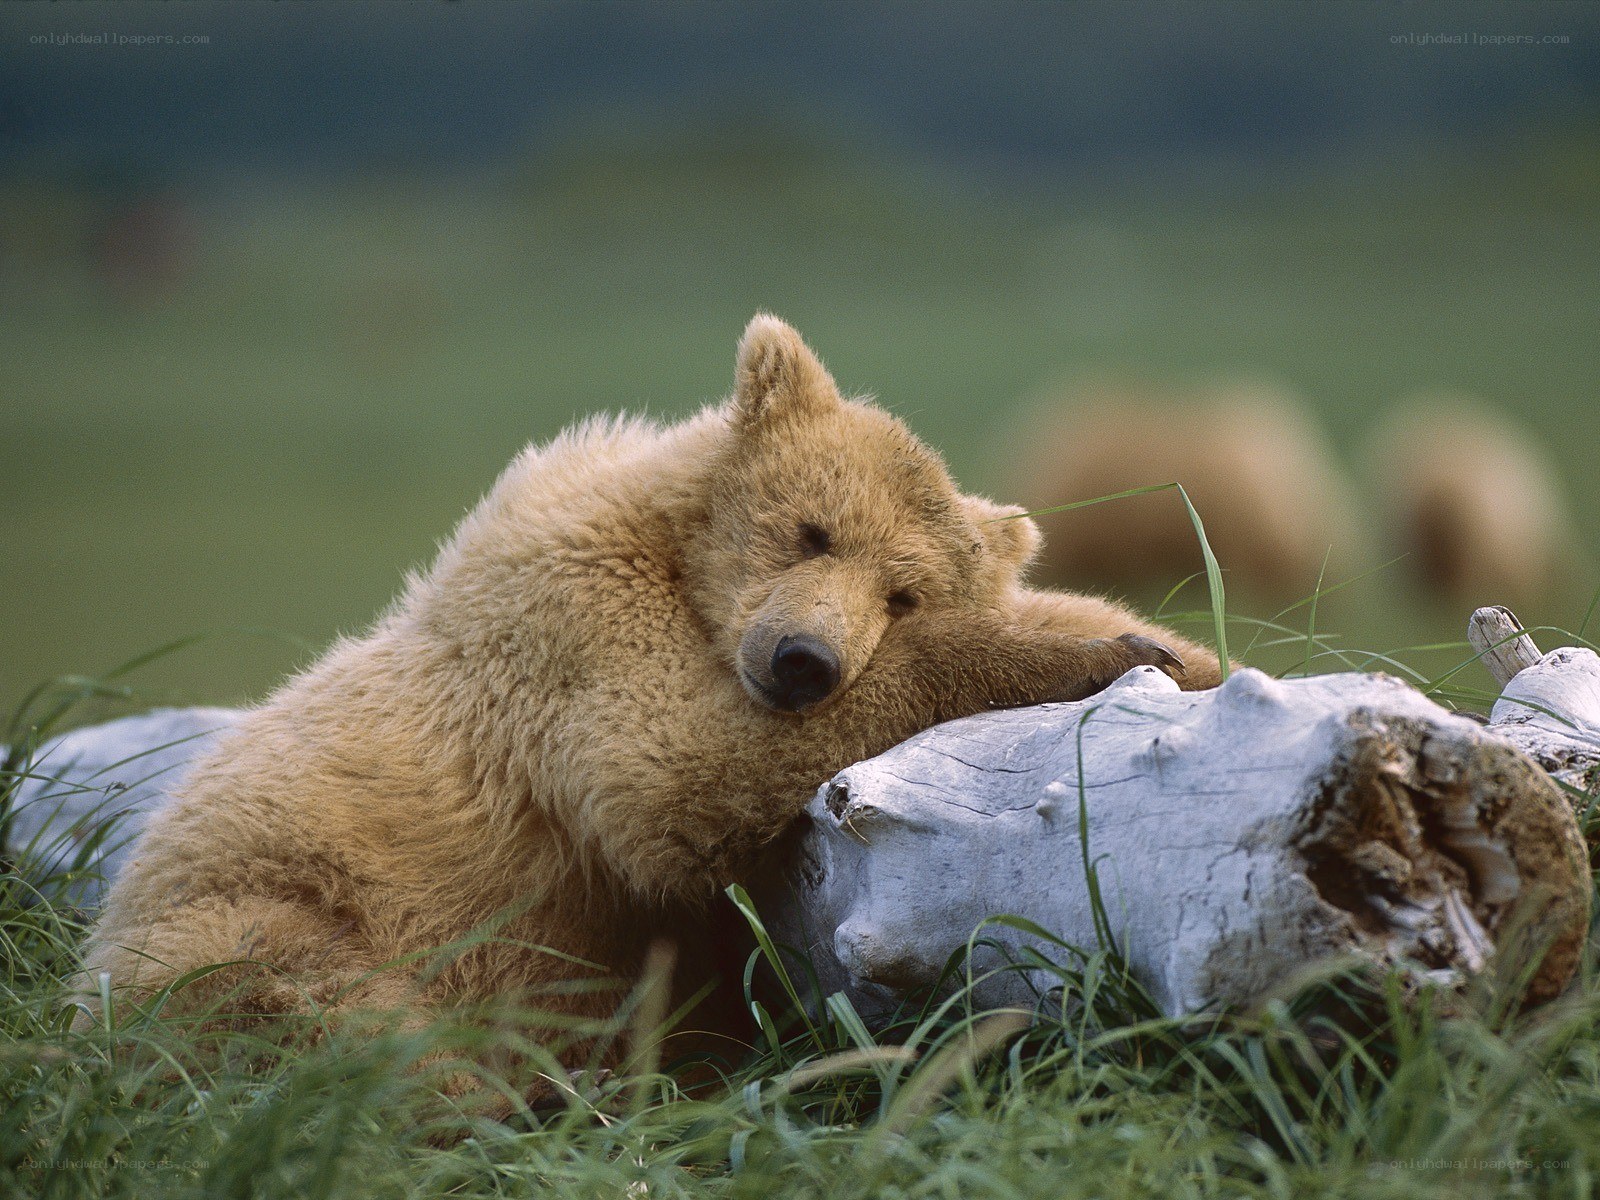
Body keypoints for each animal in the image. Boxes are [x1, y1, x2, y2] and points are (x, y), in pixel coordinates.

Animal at [78, 315, 1222, 1089]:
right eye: (811, 530)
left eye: (902, 591)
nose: (804, 661)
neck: (679, 563)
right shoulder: (572, 630)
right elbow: (671, 774)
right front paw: (1095, 654)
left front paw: (1172, 647)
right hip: (261, 907)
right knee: (311, 1009)